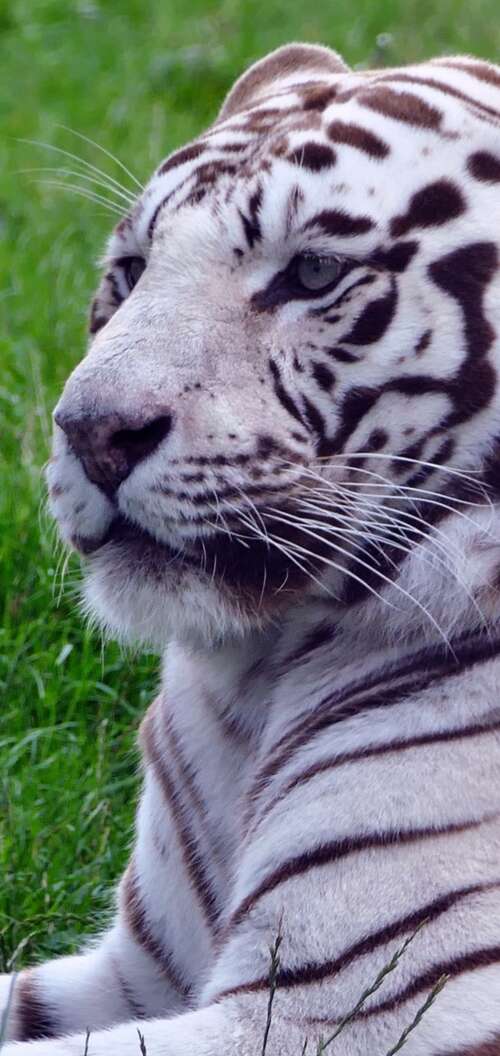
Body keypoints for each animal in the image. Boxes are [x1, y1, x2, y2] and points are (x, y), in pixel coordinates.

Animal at [4, 38, 500, 1056]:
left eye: (312, 274)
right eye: (131, 269)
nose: (92, 432)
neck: (257, 682)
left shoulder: (349, 1007)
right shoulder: (137, 971)